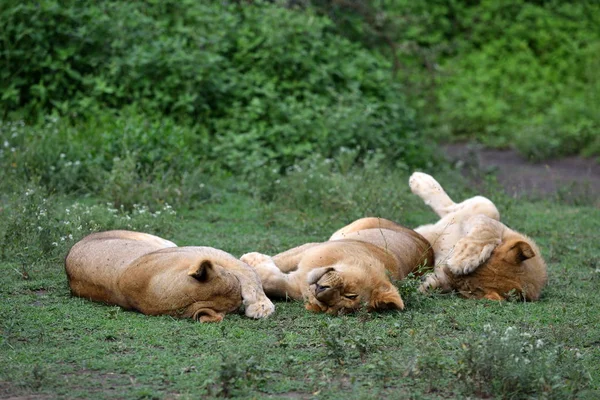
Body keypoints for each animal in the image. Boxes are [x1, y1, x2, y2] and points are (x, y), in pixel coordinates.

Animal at [241, 219, 434, 316]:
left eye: (329, 307)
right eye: (351, 294)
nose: (321, 291)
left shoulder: (293, 285)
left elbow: (270, 279)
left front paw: (254, 261)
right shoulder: (311, 248)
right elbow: (280, 259)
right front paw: (250, 258)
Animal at [408, 171, 548, 300]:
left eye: (463, 288)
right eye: (480, 265)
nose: (445, 268)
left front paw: (426, 285)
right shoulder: (485, 215)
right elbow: (488, 218)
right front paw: (463, 258)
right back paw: (419, 178)